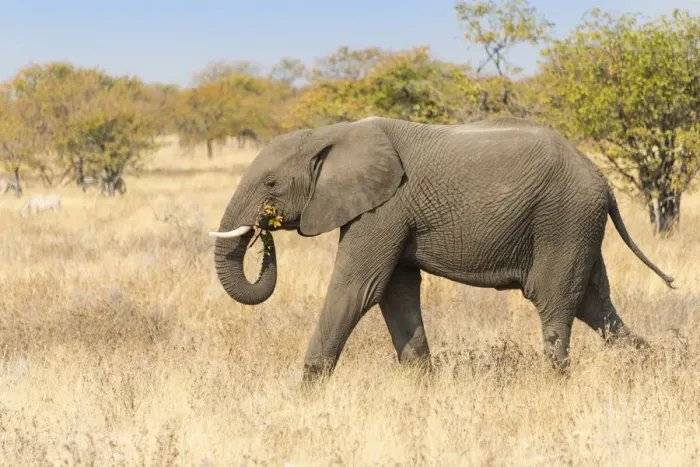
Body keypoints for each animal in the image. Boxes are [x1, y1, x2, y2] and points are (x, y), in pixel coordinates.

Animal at [208, 116, 675, 383]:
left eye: (271, 183)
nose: (263, 230)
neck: (330, 133)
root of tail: (603, 182)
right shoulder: (387, 211)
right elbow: (394, 291)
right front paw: (423, 387)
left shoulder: (385, 207)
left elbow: (359, 287)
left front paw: (307, 392)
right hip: (578, 225)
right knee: (596, 306)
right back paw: (653, 368)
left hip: (563, 218)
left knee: (554, 301)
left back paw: (555, 386)